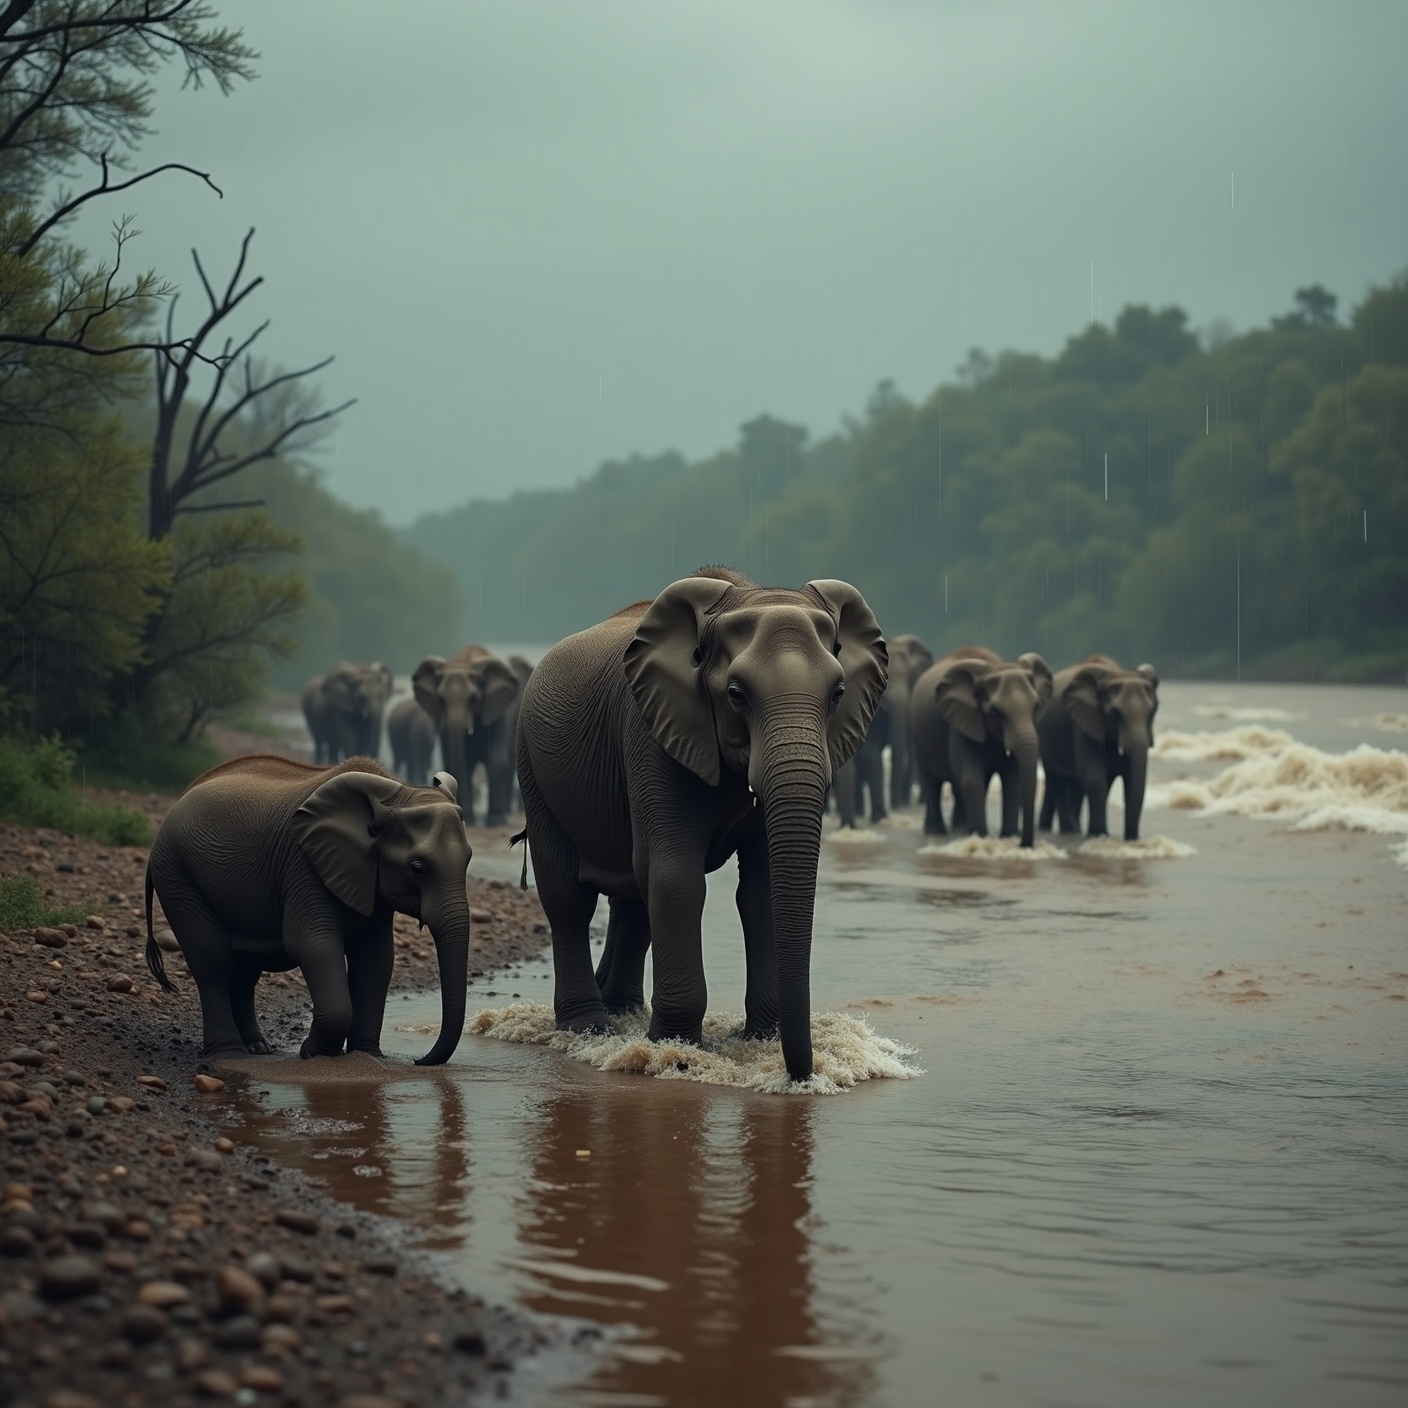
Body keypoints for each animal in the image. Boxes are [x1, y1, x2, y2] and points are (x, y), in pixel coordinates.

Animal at [144, 754, 473, 1065]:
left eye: (469, 859)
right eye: (417, 868)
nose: (418, 1060)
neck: (395, 793)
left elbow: (375, 957)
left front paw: (369, 1056)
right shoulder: (304, 866)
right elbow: (311, 944)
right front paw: (314, 1053)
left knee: (245, 968)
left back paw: (257, 1048)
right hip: (175, 871)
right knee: (213, 961)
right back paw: (229, 1054)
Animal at [412, 648, 534, 827]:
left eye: (473, 699)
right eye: (441, 700)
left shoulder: (498, 713)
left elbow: (497, 761)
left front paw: (495, 822)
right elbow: (461, 763)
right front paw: (469, 821)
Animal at [516, 566, 887, 1082]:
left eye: (837, 695)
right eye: (736, 694)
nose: (802, 1075)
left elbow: (760, 887)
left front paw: (759, 1039)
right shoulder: (650, 733)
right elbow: (677, 877)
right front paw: (677, 1050)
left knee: (633, 895)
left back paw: (622, 1011)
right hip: (532, 765)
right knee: (568, 895)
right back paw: (590, 1028)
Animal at [909, 646, 1052, 847]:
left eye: (1036, 706)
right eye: (995, 712)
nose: (1024, 844)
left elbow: (1012, 779)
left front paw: (1008, 836)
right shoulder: (961, 722)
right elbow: (971, 780)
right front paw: (980, 837)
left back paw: (960, 827)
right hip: (919, 737)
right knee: (931, 778)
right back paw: (937, 830)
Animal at [1038, 655, 1159, 840]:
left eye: (1151, 712)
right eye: (1116, 713)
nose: (1132, 838)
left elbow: (1128, 778)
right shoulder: (1084, 724)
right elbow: (1094, 777)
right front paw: (1098, 834)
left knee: (1076, 785)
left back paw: (1077, 829)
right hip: (1045, 739)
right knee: (1056, 778)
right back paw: (1070, 830)